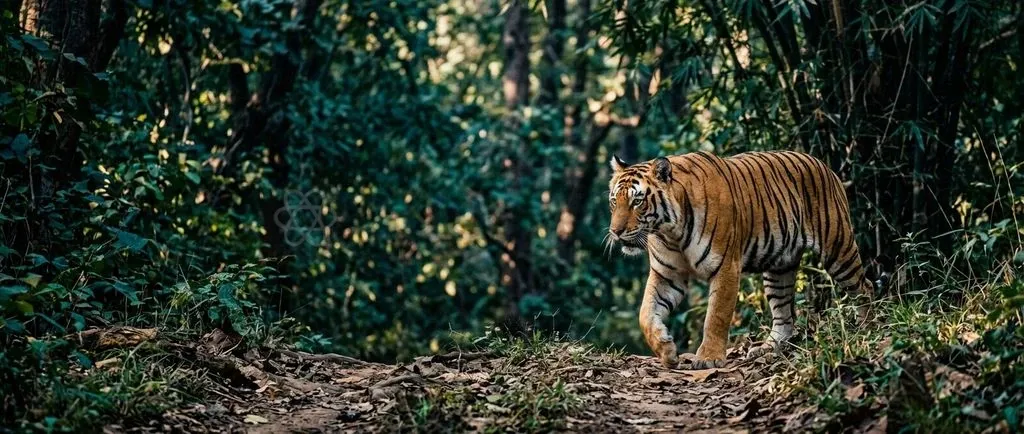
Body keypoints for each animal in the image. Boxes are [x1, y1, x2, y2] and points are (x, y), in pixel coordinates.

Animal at [607, 150, 874, 369]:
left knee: (864, 287)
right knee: (784, 315)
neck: (670, 231)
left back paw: (867, 329)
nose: (615, 231)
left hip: (838, 248)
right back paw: (767, 349)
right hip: (779, 269)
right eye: (613, 201)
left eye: (637, 201)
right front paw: (667, 351)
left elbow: (716, 315)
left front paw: (708, 358)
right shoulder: (667, 275)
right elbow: (645, 314)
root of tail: (824, 165)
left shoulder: (725, 267)